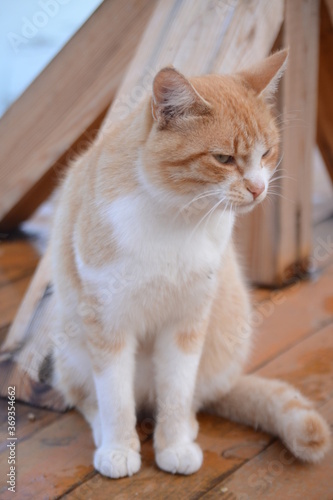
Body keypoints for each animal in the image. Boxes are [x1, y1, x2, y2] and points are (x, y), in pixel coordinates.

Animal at [48, 49, 330, 476]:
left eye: (266, 153)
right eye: (224, 158)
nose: (258, 188)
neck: (177, 217)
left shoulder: (188, 321)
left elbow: (178, 392)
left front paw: (175, 444)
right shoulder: (107, 323)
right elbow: (114, 397)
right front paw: (118, 448)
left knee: (193, 395)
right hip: (70, 343)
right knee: (89, 398)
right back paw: (102, 429)